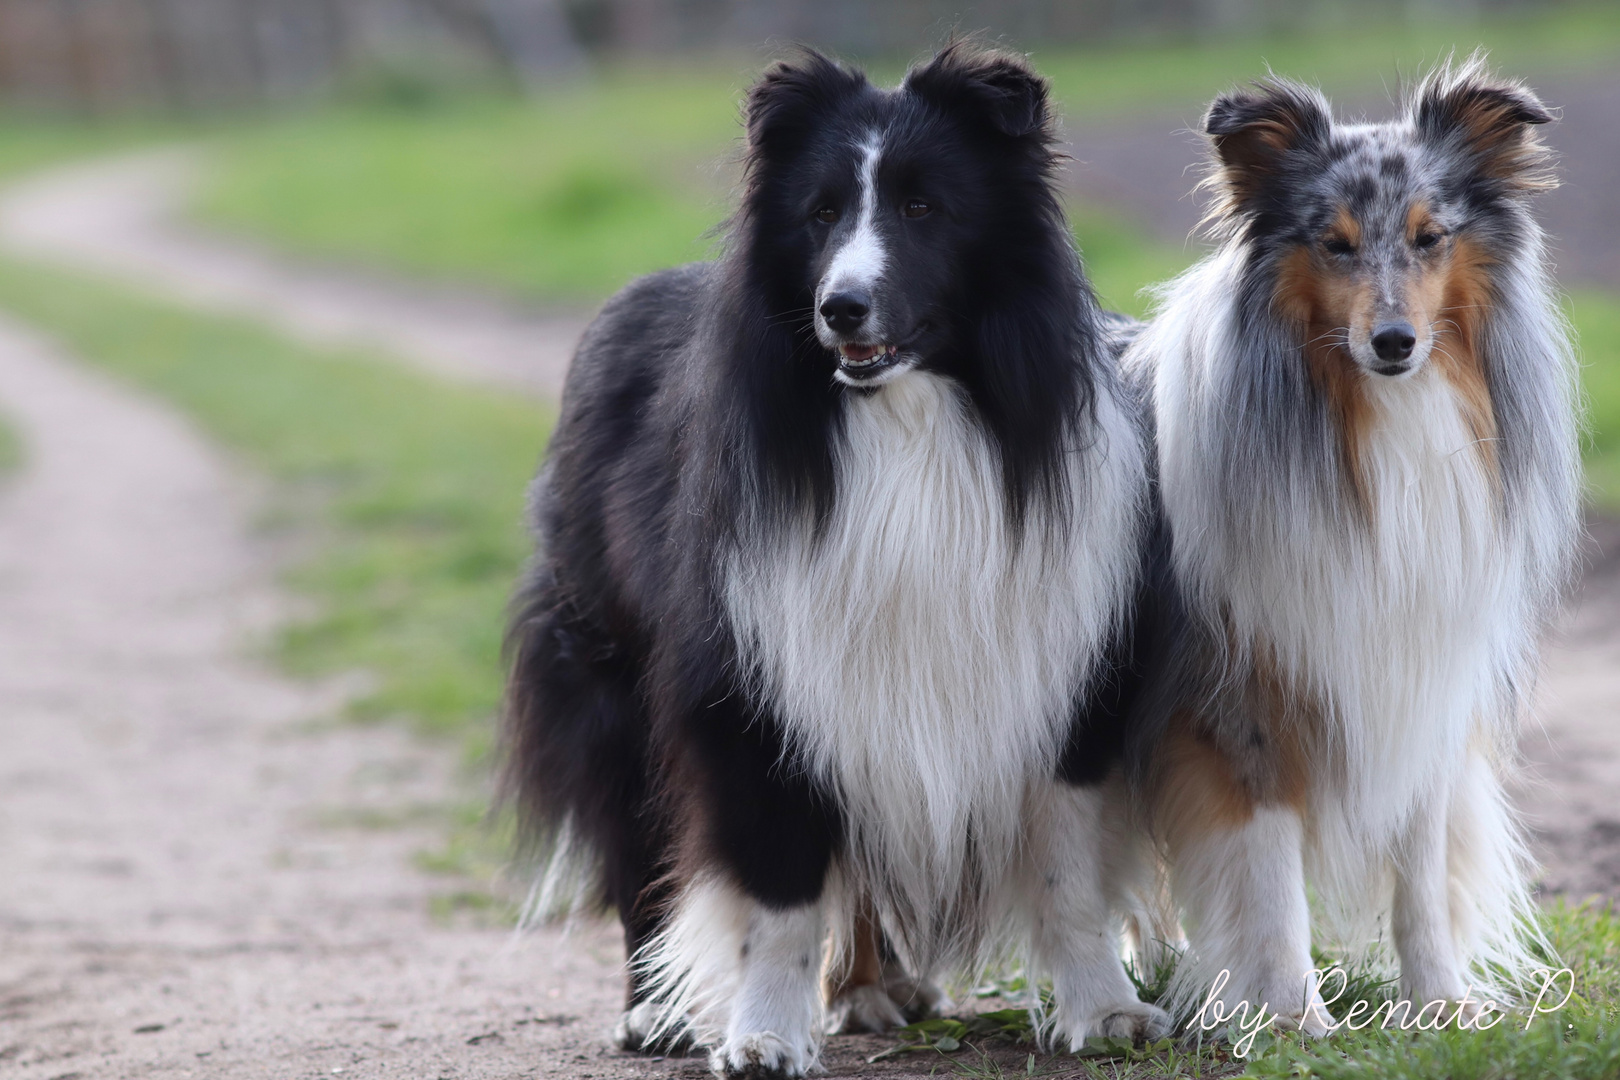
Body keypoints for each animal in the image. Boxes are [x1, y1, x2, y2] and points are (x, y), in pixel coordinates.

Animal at [498, 46, 1172, 1075]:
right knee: (638, 837)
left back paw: (869, 988)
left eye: (925, 206)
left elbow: (1068, 863)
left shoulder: (1057, 658)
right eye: (818, 213)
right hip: (608, 658)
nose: (840, 309)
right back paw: (656, 1012)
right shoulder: (753, 672)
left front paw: (1107, 1012)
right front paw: (764, 1038)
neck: (908, 418)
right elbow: (777, 891)